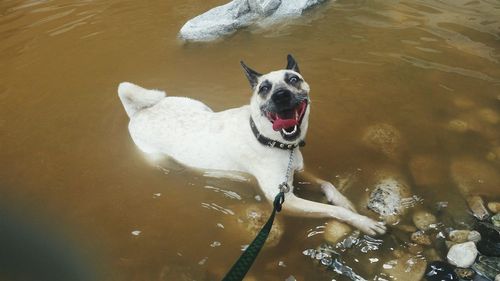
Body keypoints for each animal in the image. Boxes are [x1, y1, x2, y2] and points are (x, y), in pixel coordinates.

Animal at [118, 54, 386, 234]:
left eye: (294, 80)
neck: (271, 141)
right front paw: (364, 222)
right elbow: (332, 210)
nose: (281, 95)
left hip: (198, 105)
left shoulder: (297, 171)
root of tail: (140, 111)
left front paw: (345, 200)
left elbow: (327, 184)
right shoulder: (286, 200)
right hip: (158, 158)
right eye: (264, 88)